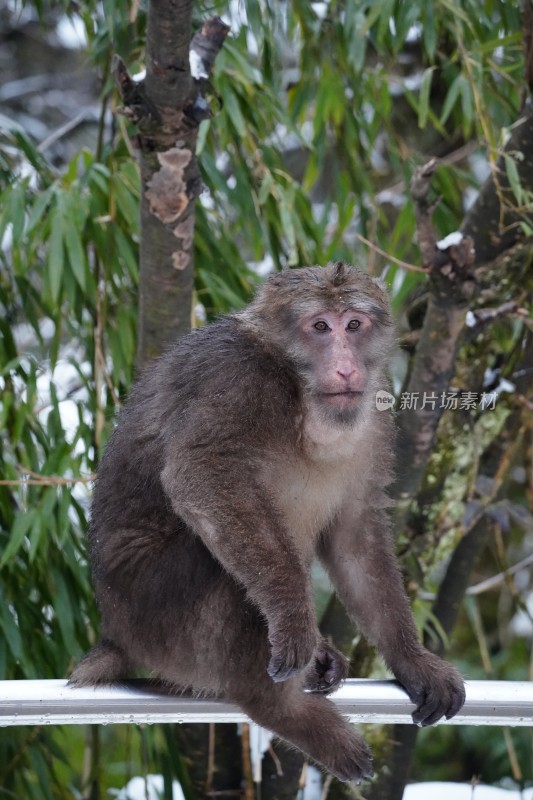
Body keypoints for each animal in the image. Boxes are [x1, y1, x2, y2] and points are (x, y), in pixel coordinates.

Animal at [69, 262, 462, 780]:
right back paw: (281, 708)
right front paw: (295, 619)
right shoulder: (238, 381)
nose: (346, 366)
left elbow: (355, 534)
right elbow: (203, 476)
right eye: (320, 327)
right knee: (222, 558)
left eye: (354, 325)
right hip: (156, 619)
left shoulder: (374, 413)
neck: (298, 389)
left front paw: (413, 660)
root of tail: (113, 634)